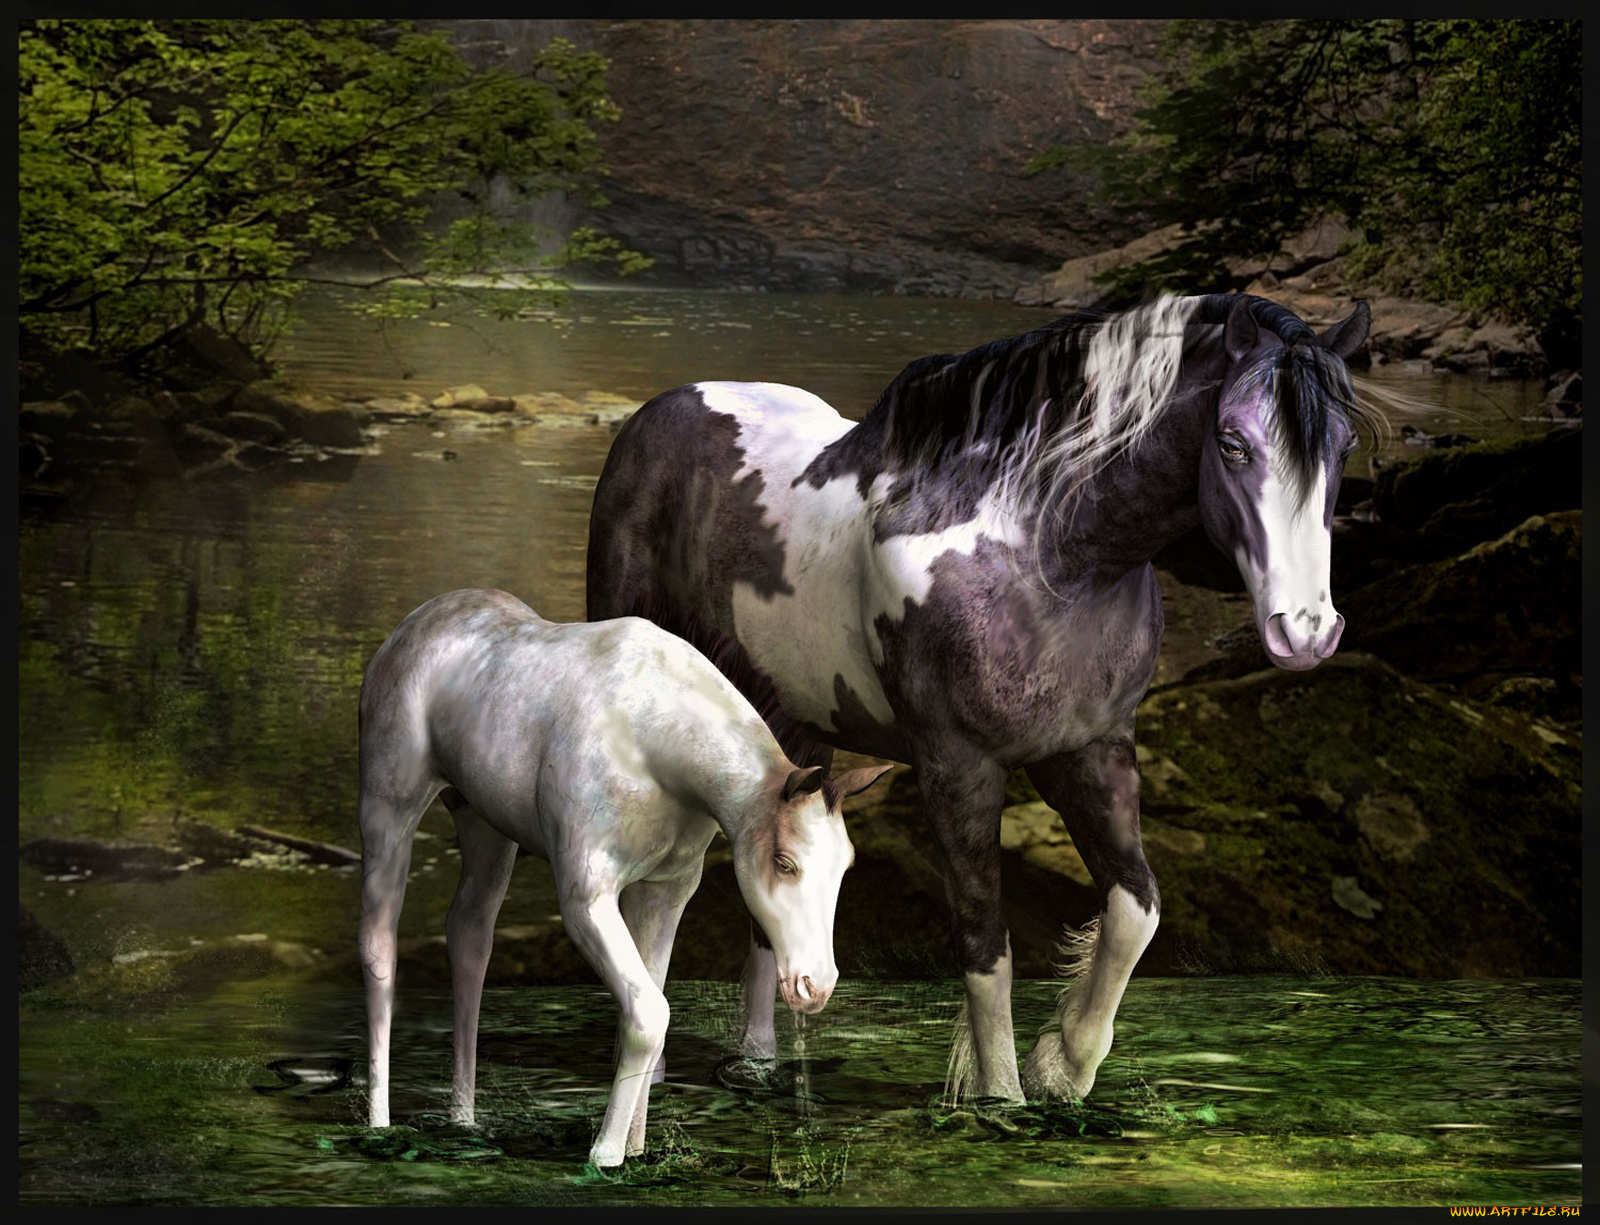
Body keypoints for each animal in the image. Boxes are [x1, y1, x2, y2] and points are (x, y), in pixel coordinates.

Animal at [356, 588, 891, 1167]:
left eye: (846, 865)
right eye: (786, 862)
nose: (816, 986)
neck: (655, 740)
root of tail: (415, 624)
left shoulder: (665, 893)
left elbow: (645, 1011)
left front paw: (635, 1150)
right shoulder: (586, 899)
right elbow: (649, 1013)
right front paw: (605, 1157)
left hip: (485, 826)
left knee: (470, 937)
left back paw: (464, 1121)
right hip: (389, 807)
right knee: (379, 945)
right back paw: (379, 1127)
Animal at [584, 292, 1373, 1104]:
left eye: (1343, 446)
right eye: (1233, 442)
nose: (1305, 630)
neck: (1044, 554)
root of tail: (662, 408)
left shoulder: (1092, 752)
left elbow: (1137, 909)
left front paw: (1063, 1063)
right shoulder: (958, 771)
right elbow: (984, 942)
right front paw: (999, 1098)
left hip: (796, 725)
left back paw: (757, 1061)